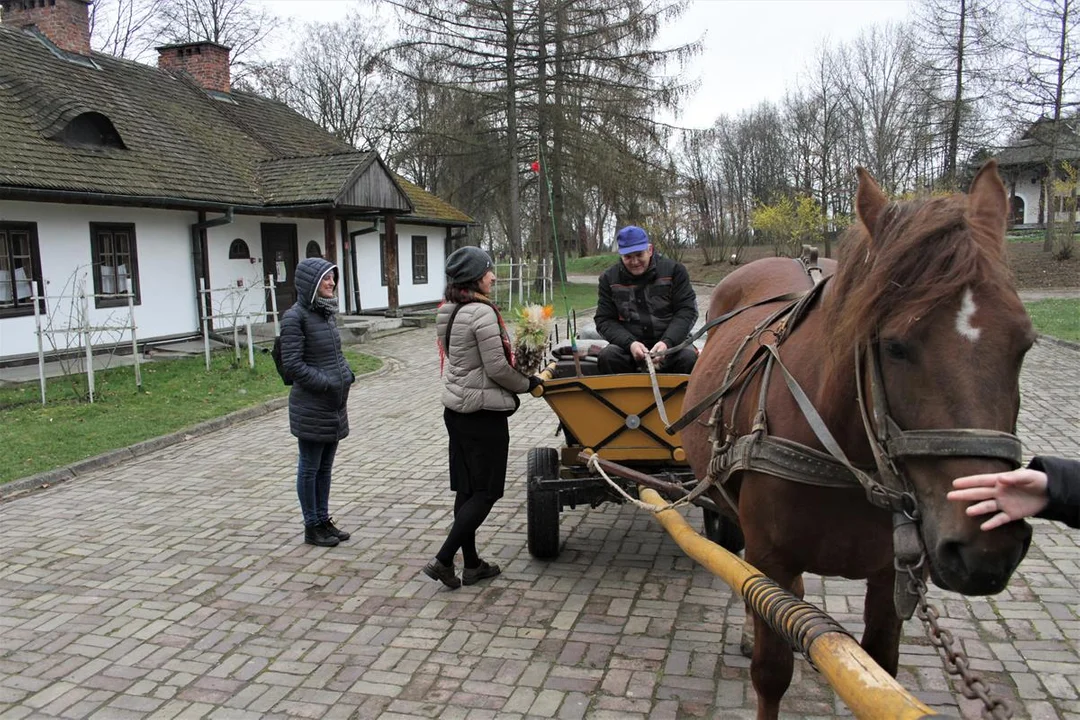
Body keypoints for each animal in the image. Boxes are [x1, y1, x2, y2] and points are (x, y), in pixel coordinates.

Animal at [682, 162, 1036, 720]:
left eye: (1024, 343)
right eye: (894, 346)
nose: (987, 546)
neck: (845, 459)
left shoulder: (893, 573)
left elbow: (880, 667)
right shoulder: (771, 559)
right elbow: (771, 671)